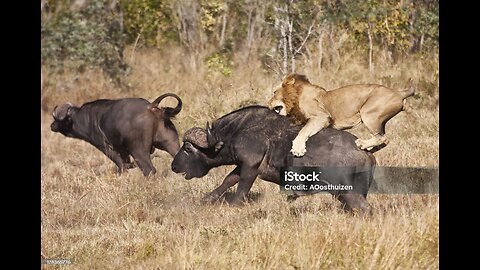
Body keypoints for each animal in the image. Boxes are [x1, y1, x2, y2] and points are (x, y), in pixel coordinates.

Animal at [50, 93, 182, 177]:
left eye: (57, 119)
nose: (52, 126)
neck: (85, 118)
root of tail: (150, 107)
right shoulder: (123, 151)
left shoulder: (105, 147)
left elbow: (121, 165)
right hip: (170, 143)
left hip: (138, 150)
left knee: (149, 170)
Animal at [268, 73, 414, 157]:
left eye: (274, 92)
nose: (268, 104)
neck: (296, 96)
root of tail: (399, 92)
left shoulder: (321, 117)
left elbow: (303, 131)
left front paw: (298, 149)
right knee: (383, 138)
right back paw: (367, 147)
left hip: (369, 114)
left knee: (383, 138)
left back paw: (362, 144)